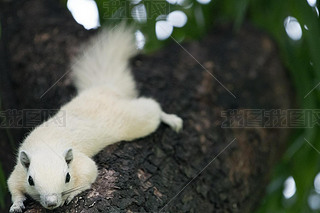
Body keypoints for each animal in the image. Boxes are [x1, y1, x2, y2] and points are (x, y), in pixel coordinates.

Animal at [6, 24, 182, 212]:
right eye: (30, 180)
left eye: (67, 177)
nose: (52, 202)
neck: (47, 145)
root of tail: (107, 88)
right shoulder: (19, 171)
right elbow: (13, 187)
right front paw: (17, 204)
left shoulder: (81, 164)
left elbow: (89, 174)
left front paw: (70, 195)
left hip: (137, 119)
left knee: (153, 109)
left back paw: (171, 119)